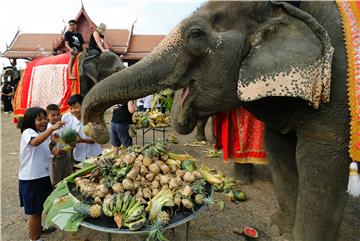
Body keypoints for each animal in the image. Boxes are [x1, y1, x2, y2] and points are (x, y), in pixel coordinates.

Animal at [81, 2, 352, 241]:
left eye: (195, 34)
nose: (96, 129)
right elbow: (278, 147)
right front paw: (280, 229)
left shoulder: (337, 85)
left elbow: (322, 163)